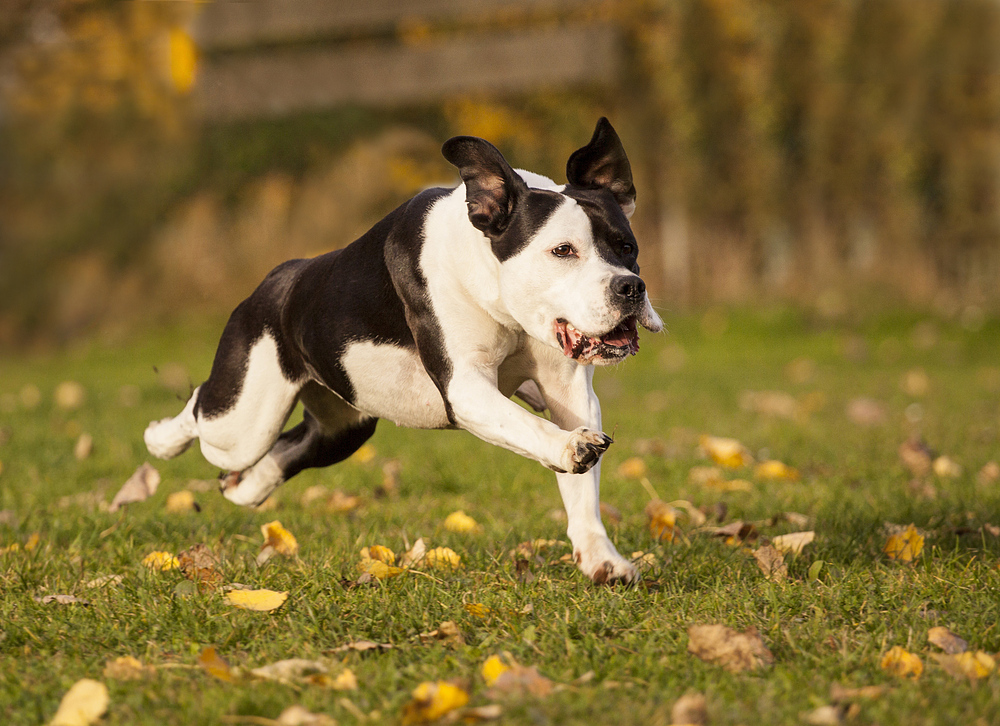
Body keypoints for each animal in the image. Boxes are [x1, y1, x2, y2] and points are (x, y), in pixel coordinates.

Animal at [145, 119, 660, 584]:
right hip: (242, 420)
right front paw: (570, 446)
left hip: (343, 429)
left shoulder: (570, 393)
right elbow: (527, 425)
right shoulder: (466, 387)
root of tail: (276, 280)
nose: (629, 287)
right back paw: (160, 439)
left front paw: (602, 560)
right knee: (203, 408)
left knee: (283, 453)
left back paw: (243, 486)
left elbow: (580, 489)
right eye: (563, 250)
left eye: (627, 247)